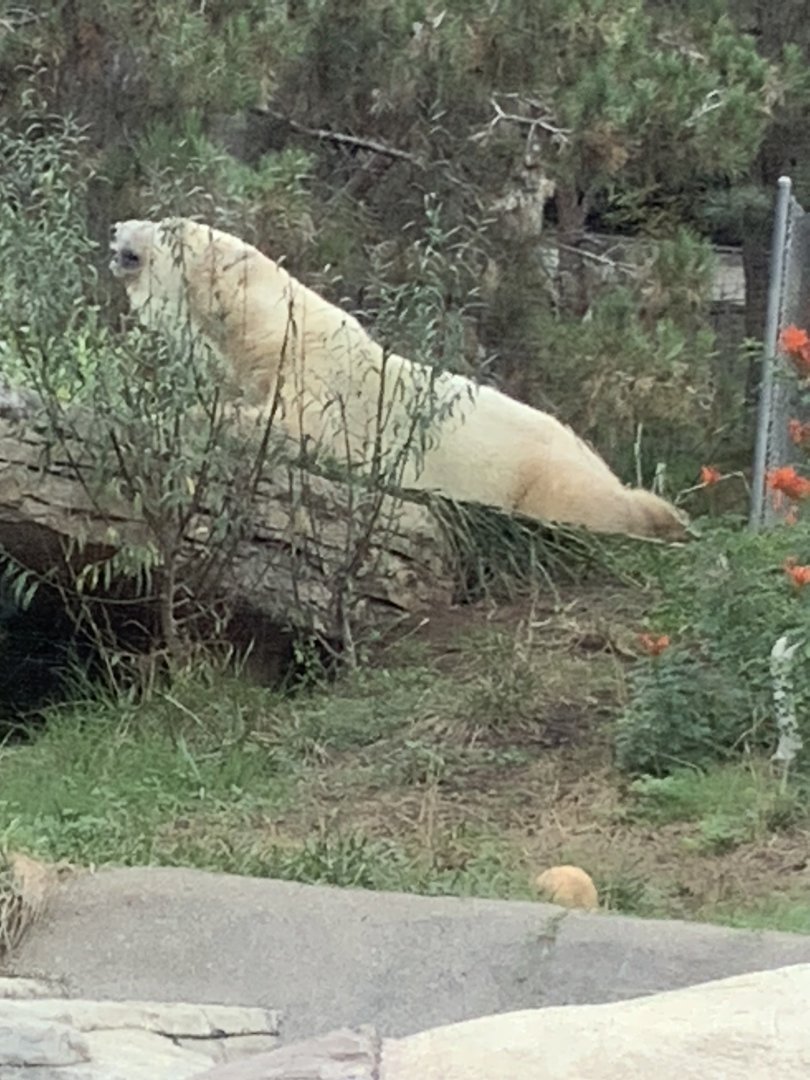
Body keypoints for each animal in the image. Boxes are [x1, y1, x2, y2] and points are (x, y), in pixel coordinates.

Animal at [109, 217, 689, 542]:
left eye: (167, 224)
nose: (117, 227)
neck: (271, 329)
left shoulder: (324, 378)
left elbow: (299, 429)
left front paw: (176, 414)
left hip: (548, 476)